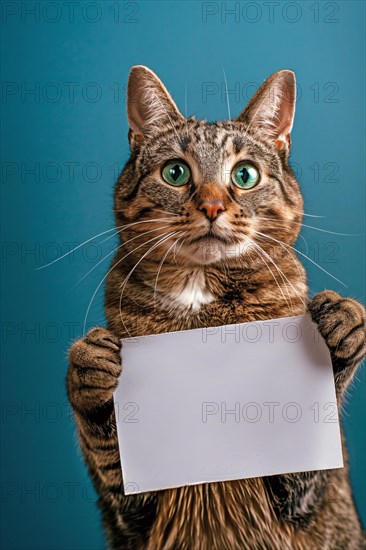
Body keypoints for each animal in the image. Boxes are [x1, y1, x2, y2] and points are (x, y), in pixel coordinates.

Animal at [66, 67, 366, 548]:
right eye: (175, 172)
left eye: (244, 175)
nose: (211, 205)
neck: (202, 304)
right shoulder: (128, 513)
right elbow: (106, 448)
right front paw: (90, 369)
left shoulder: (302, 494)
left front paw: (342, 324)